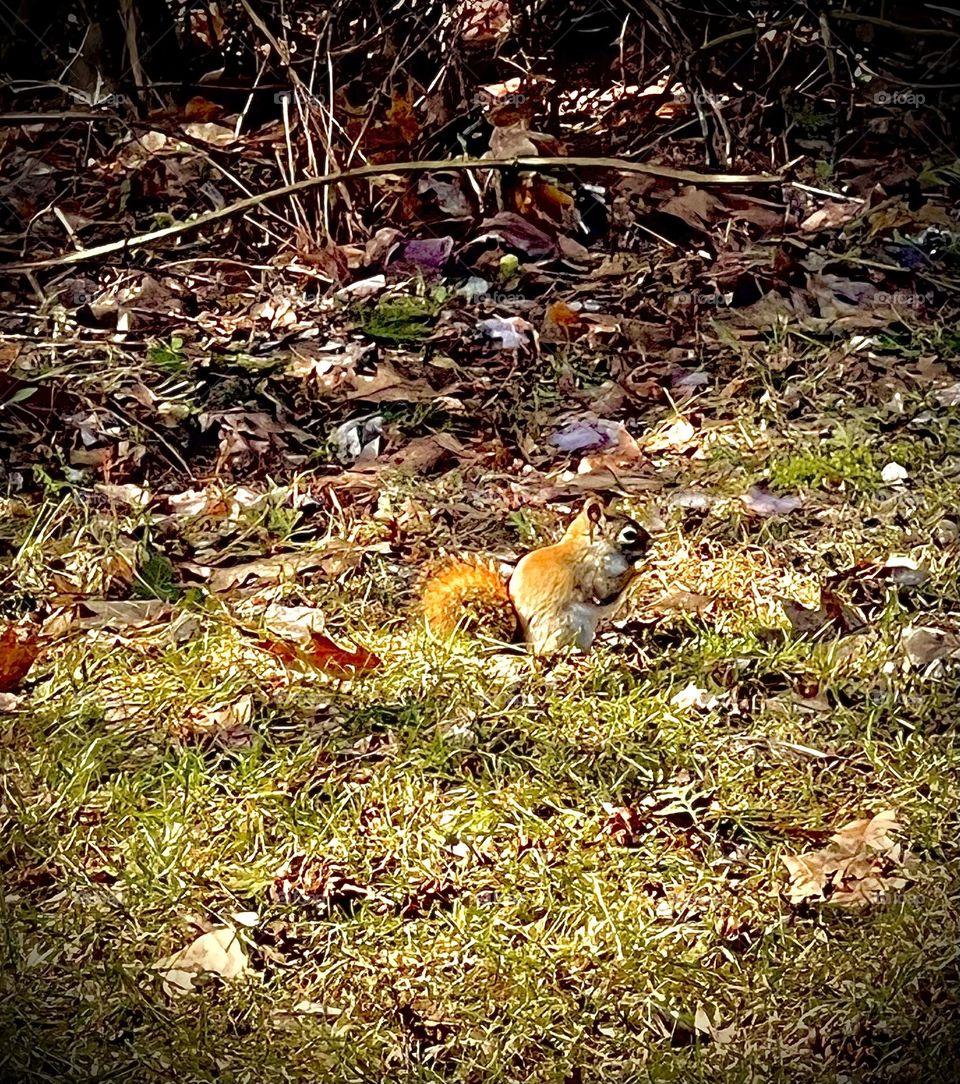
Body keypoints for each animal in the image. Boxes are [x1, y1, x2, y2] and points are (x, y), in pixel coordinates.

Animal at [420, 496, 650, 655]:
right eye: (629, 534)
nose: (650, 541)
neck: (587, 544)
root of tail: (524, 645)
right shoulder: (594, 571)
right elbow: (607, 592)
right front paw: (641, 566)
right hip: (568, 624)